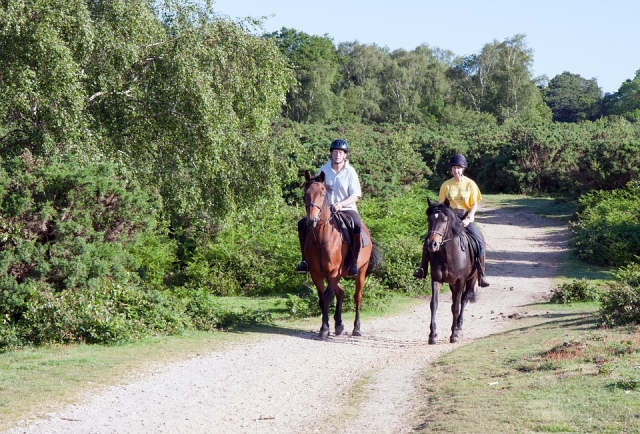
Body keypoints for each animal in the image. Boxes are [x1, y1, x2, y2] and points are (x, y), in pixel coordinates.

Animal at [302, 170, 381, 339]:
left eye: (323, 193)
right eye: (306, 193)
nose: (311, 220)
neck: (321, 238)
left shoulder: (334, 271)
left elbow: (327, 296)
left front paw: (324, 329)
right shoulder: (316, 273)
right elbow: (322, 298)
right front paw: (326, 327)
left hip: (360, 271)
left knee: (357, 297)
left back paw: (356, 328)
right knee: (341, 292)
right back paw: (338, 325)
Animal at [423, 197, 481, 344]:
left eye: (445, 220)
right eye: (429, 220)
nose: (432, 244)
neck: (448, 255)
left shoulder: (460, 281)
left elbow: (456, 306)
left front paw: (454, 335)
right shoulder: (436, 279)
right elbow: (434, 304)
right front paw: (433, 335)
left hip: (471, 280)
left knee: (463, 301)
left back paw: (458, 329)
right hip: (452, 284)